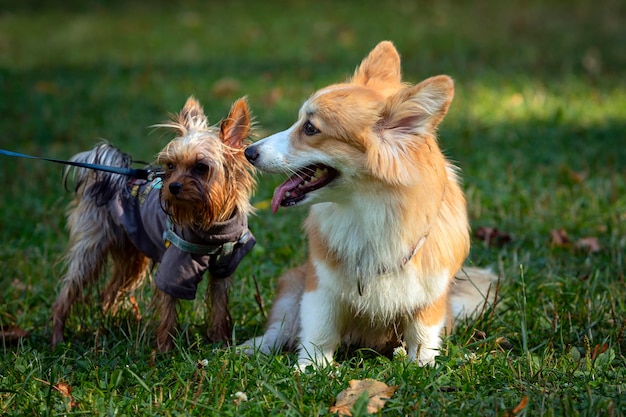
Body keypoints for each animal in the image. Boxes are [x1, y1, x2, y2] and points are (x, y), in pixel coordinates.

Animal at [51, 96, 255, 350]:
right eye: (170, 166)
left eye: (201, 167)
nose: (173, 186)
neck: (213, 225)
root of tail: (110, 176)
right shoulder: (175, 266)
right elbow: (168, 309)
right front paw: (163, 349)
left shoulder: (223, 268)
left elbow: (218, 306)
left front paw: (220, 342)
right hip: (92, 247)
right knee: (69, 290)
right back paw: (57, 338)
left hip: (132, 254)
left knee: (109, 291)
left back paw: (117, 324)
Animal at [241, 41, 494, 368]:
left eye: (310, 128)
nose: (248, 151)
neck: (368, 208)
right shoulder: (320, 285)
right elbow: (318, 328)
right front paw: (311, 367)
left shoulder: (430, 292)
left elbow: (423, 335)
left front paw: (423, 365)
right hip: (291, 284)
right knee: (280, 327)